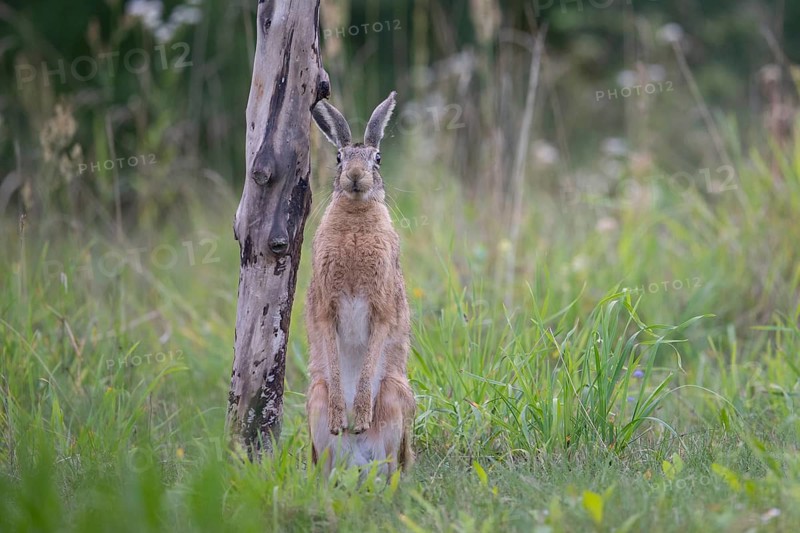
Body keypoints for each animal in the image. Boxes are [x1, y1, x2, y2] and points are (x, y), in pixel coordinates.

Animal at [305, 91, 415, 477]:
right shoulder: (325, 307)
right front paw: (343, 416)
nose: (354, 177)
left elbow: (371, 358)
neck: (355, 217)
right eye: (339, 158)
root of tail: (357, 462)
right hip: (315, 398)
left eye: (377, 159)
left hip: (395, 395)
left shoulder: (382, 307)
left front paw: (361, 414)